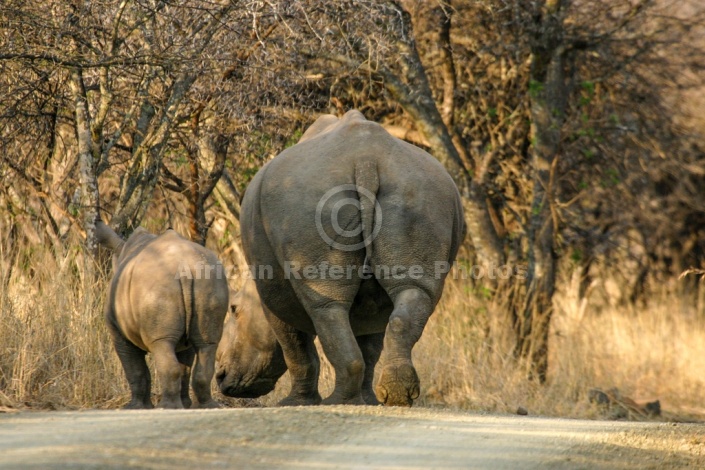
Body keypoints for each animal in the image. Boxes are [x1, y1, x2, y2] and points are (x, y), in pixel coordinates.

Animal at [95, 220, 228, 408]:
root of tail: (185, 268)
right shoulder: (185, 341)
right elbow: (184, 365)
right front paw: (183, 405)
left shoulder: (117, 332)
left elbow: (134, 369)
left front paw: (135, 407)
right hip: (209, 280)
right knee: (207, 344)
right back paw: (206, 407)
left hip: (158, 287)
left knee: (161, 344)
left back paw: (166, 407)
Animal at [217, 111, 464, 408]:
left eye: (234, 309)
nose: (220, 378)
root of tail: (366, 160)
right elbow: (370, 346)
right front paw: (369, 401)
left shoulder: (271, 295)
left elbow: (296, 346)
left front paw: (296, 403)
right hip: (419, 193)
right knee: (412, 293)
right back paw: (395, 394)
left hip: (309, 203)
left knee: (326, 307)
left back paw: (336, 401)